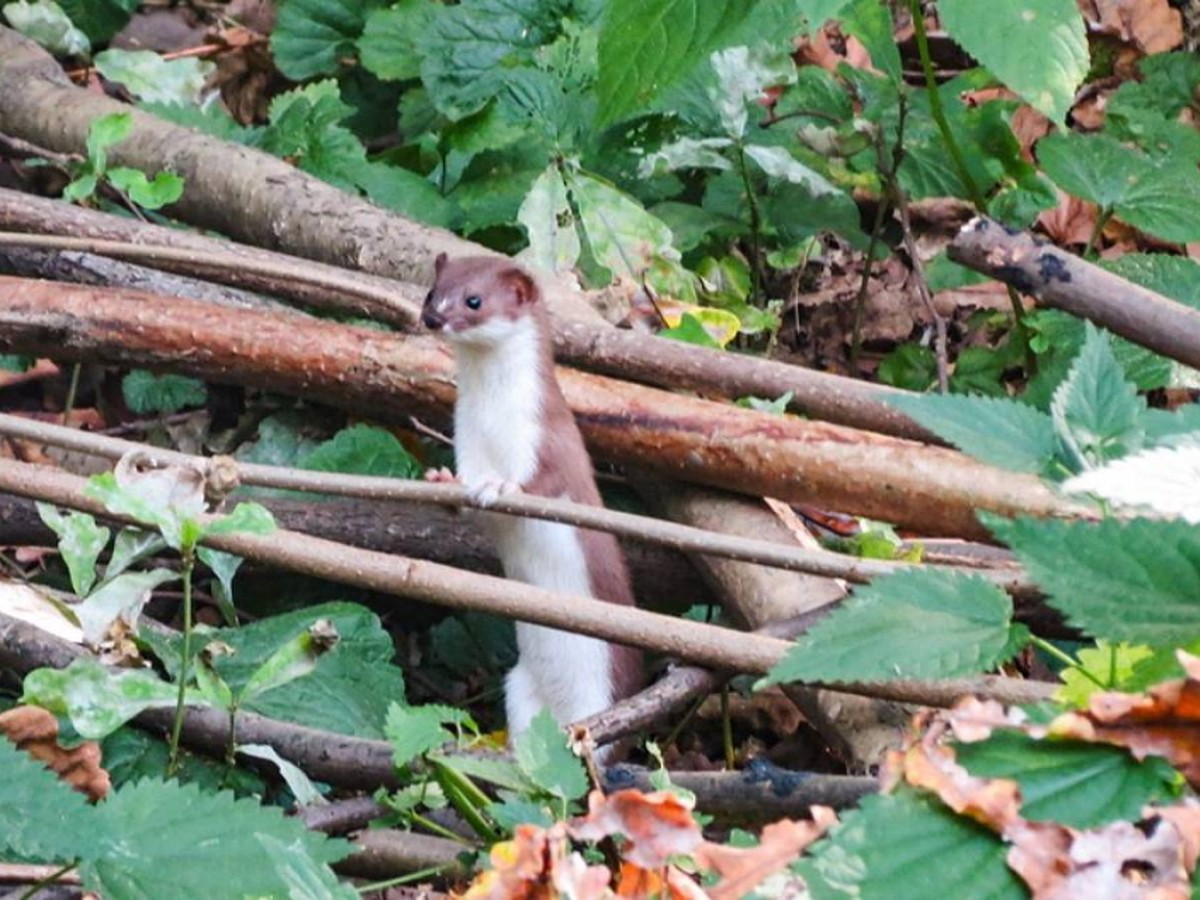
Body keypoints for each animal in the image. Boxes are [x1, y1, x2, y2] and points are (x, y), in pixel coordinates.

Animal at [424, 255, 648, 748]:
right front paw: (442, 479)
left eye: (474, 299)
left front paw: (503, 488)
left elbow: (547, 483)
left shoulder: (548, 437)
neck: (491, 425)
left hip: (600, 691)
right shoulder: (466, 439)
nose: (431, 317)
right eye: (432, 292)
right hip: (518, 686)